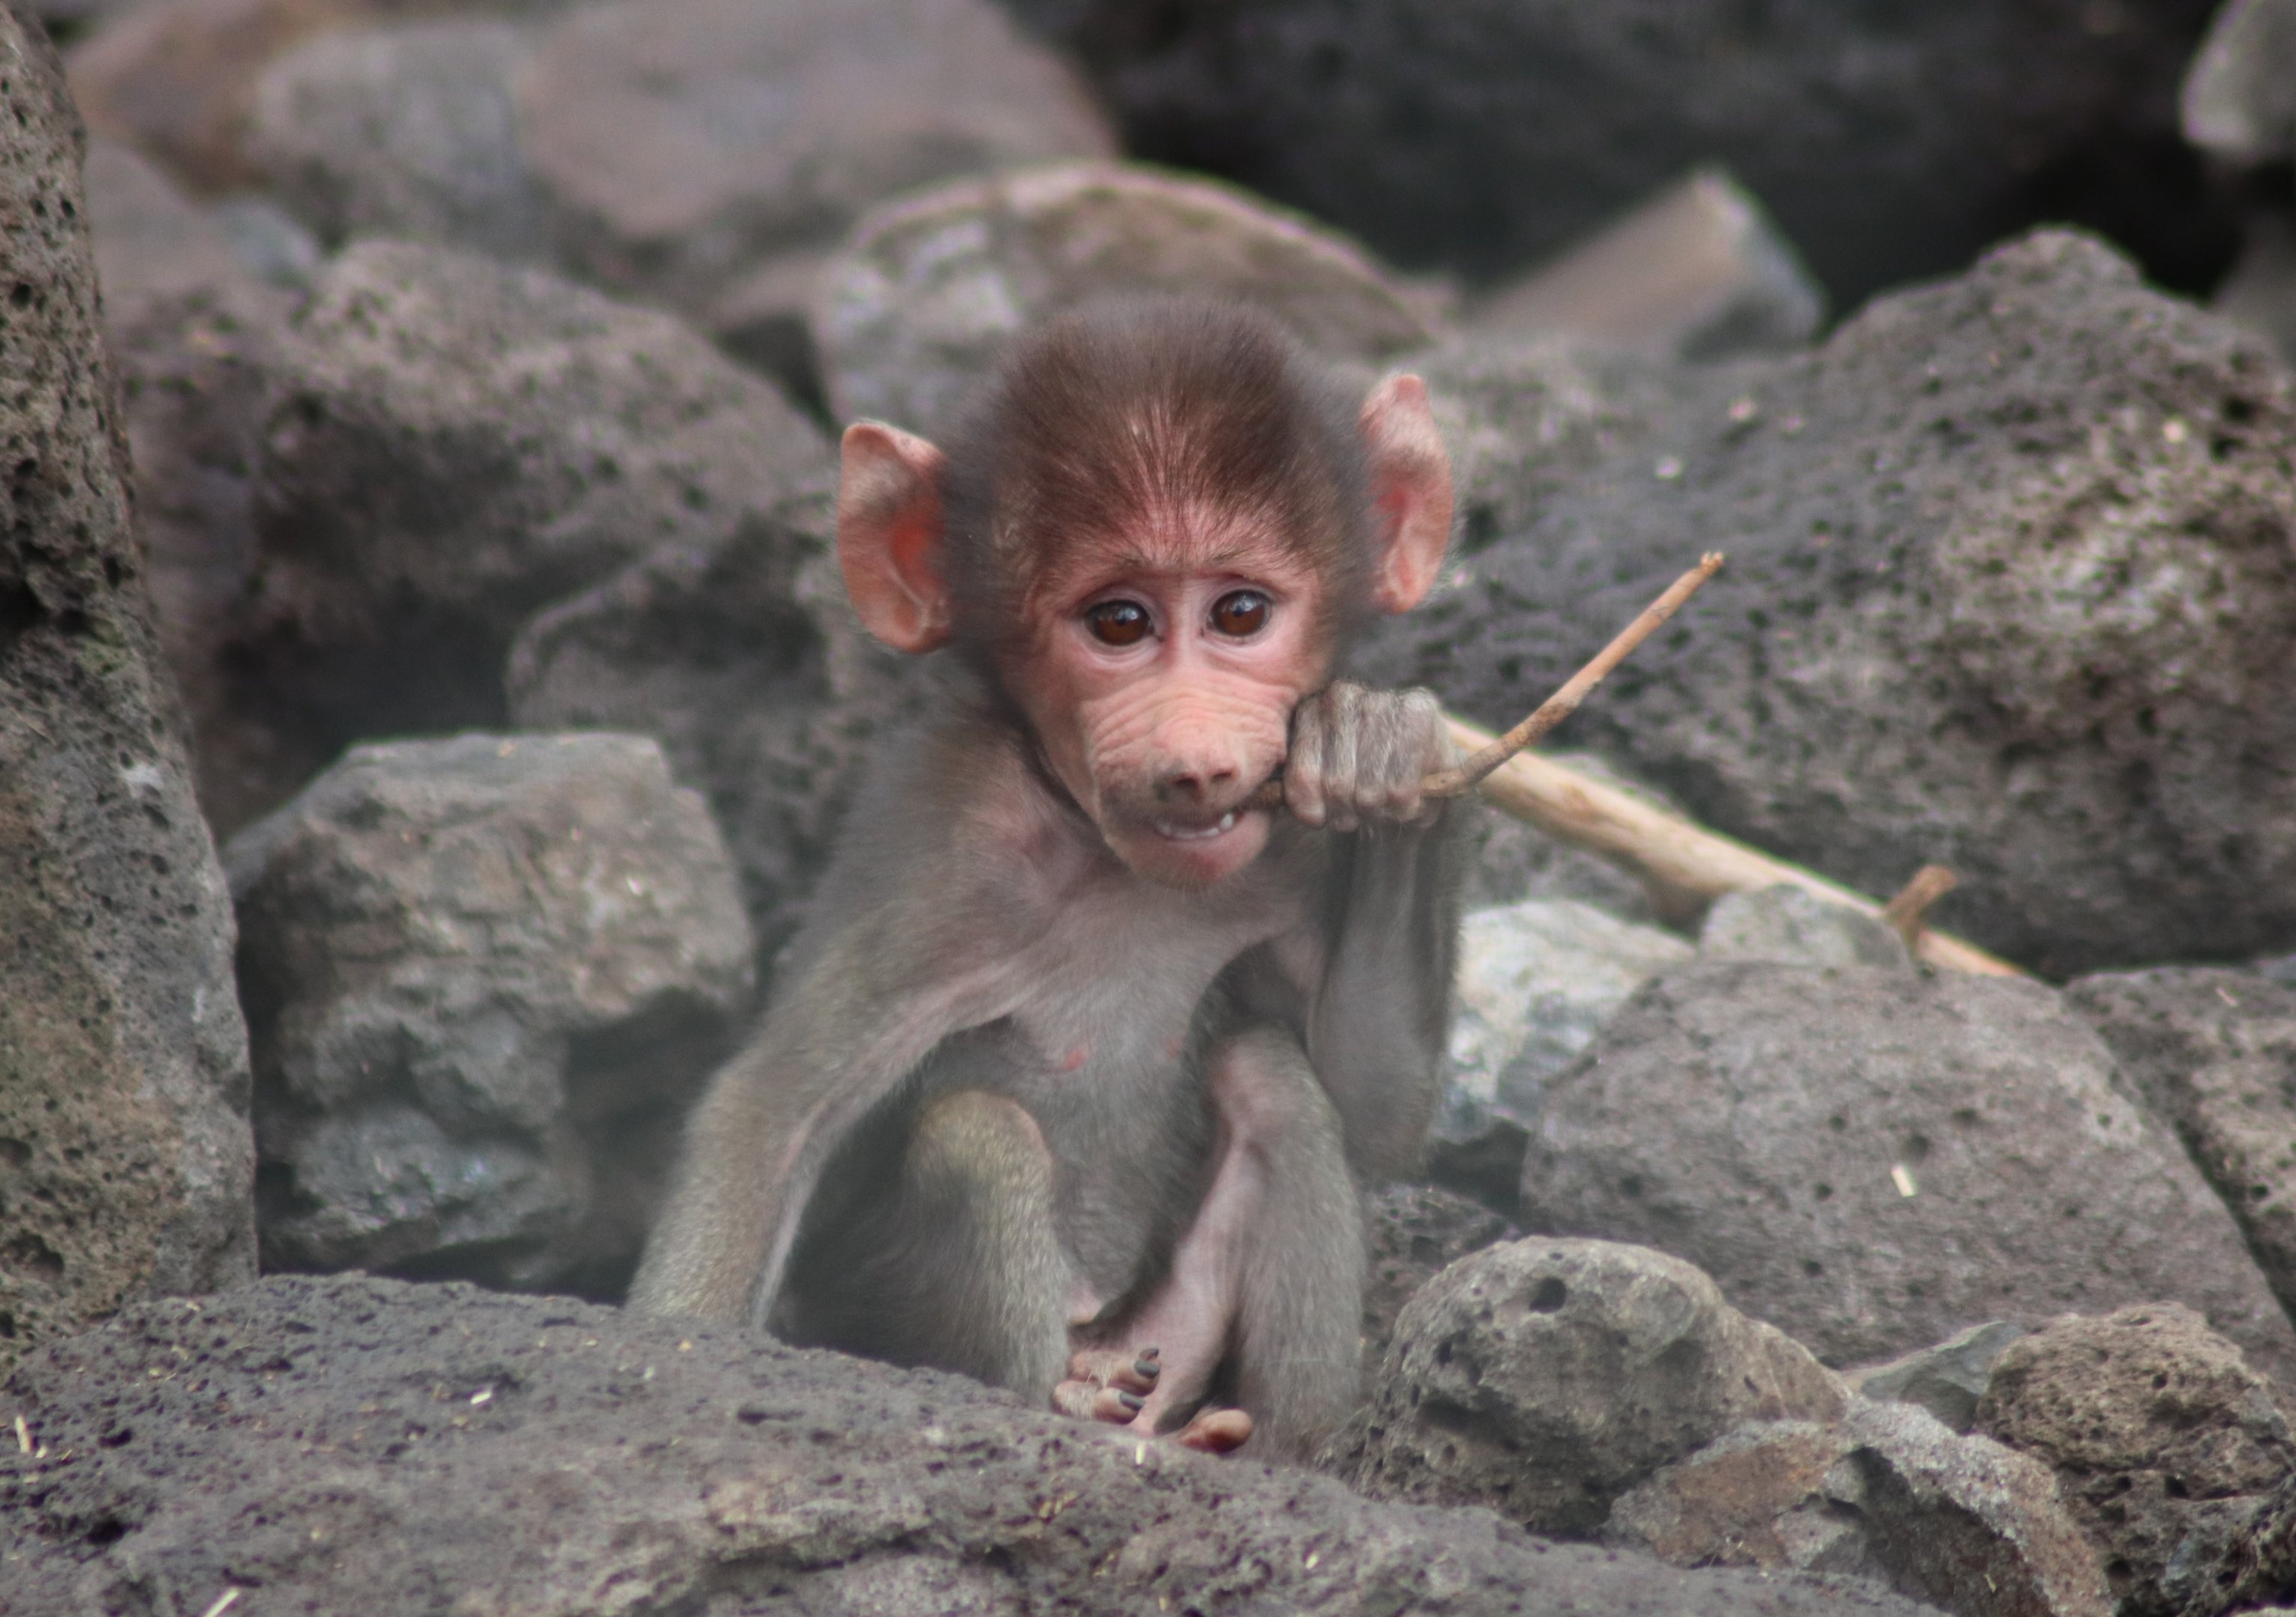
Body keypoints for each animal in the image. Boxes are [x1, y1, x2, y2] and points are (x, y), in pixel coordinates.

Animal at [628, 299, 1462, 1459]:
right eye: (1118, 623)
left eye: (1239, 614)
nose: (1196, 762)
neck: (1108, 856)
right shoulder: (952, 840)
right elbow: (773, 1110)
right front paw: (670, 1365)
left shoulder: (1287, 852)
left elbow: (1375, 1109)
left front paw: (1383, 756)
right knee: (979, 1138)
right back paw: (1062, 1405)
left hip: (1165, 1332)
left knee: (1272, 1082)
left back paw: (1268, 1446)